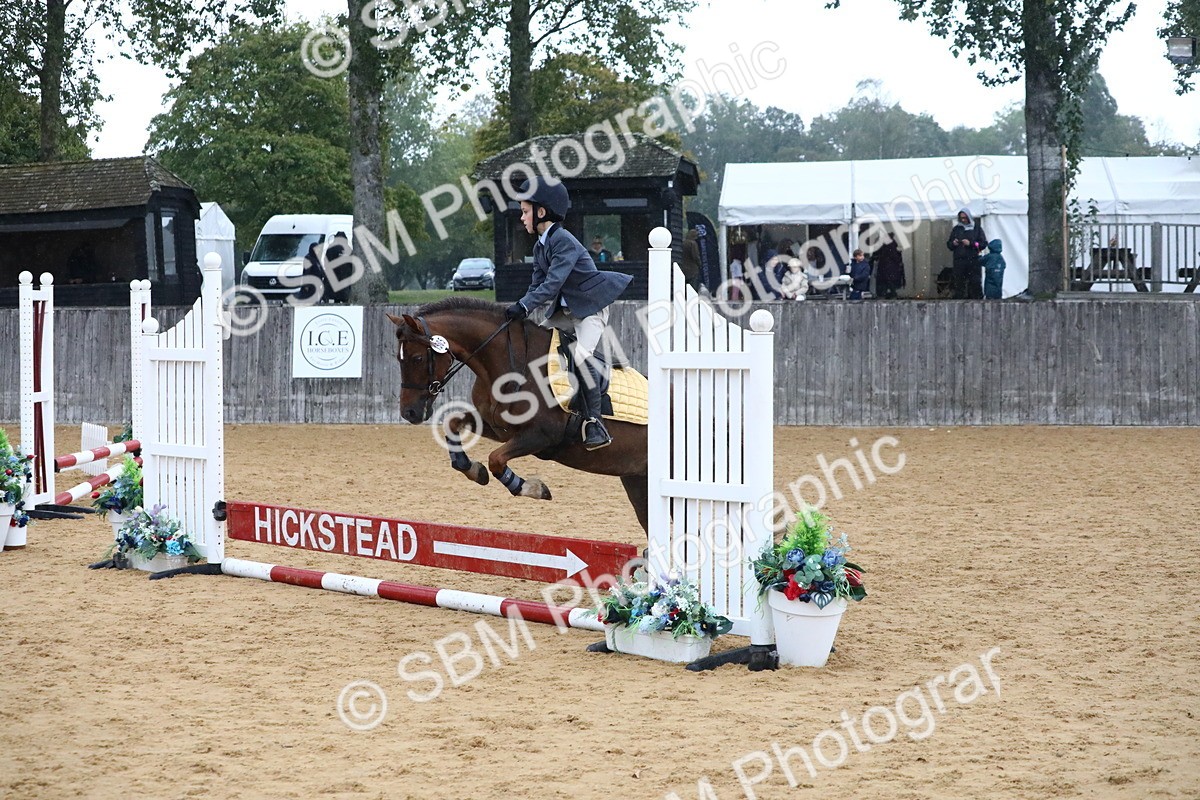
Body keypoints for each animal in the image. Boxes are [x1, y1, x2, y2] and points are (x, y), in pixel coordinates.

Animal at [387, 297, 650, 533]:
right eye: (398, 359)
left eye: (417, 358)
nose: (409, 413)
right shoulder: (496, 426)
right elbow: (453, 424)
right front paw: (473, 470)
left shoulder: (542, 436)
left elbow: (495, 459)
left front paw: (534, 489)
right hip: (636, 478)